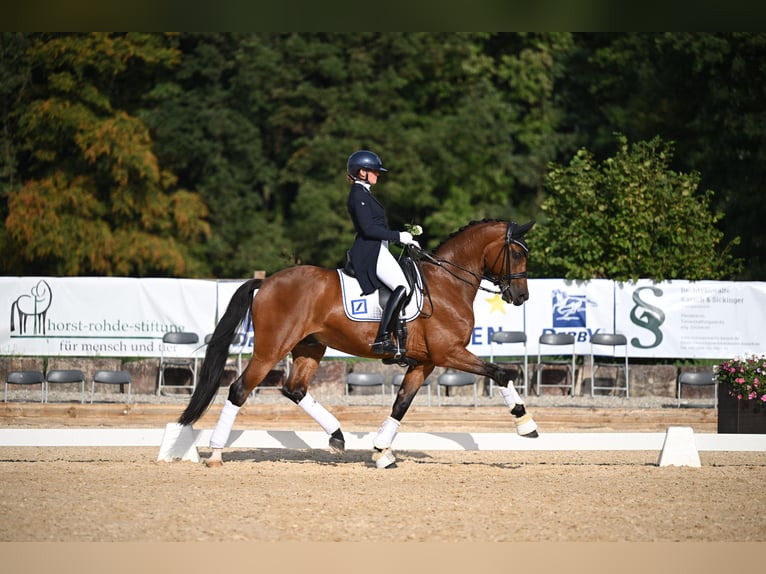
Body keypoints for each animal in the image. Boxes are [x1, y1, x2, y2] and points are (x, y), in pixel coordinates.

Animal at [180, 219, 540, 468]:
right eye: (517, 253)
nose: (522, 297)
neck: (447, 284)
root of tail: (266, 282)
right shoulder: (449, 353)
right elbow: (500, 373)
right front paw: (526, 424)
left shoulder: (425, 362)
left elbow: (400, 405)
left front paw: (382, 452)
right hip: (271, 350)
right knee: (239, 390)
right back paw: (216, 454)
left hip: (310, 348)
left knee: (294, 389)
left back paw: (337, 436)